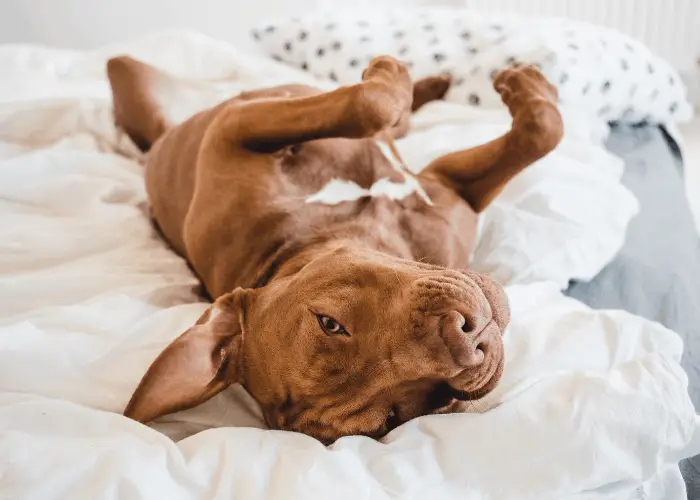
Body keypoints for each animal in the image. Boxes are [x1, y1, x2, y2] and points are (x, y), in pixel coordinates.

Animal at [108, 55, 564, 446]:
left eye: (328, 322)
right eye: (397, 414)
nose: (465, 340)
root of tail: (159, 136)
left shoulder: (234, 128)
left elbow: (541, 130)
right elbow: (371, 104)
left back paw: (428, 85)